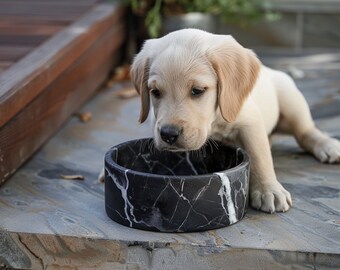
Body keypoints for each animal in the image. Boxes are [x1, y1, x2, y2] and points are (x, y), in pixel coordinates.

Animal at [127, 28, 340, 213]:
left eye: (197, 91)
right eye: (155, 92)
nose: (168, 134)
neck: (214, 122)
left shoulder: (250, 122)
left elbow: (260, 156)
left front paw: (268, 190)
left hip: (291, 99)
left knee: (305, 132)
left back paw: (328, 145)